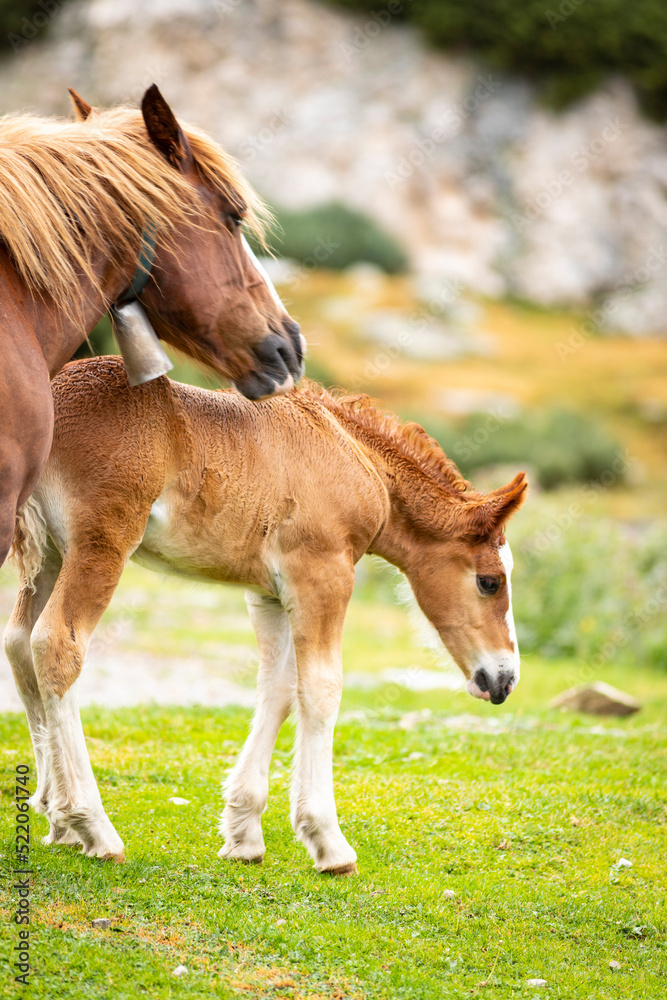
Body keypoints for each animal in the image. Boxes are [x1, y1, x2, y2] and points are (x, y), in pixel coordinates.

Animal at [6, 356, 527, 873]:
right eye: (490, 581)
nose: (504, 679)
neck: (350, 452)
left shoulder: (270, 595)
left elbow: (277, 690)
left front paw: (243, 832)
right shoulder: (322, 576)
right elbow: (321, 689)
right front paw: (328, 841)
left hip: (49, 555)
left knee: (19, 644)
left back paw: (54, 815)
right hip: (101, 545)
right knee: (56, 645)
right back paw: (92, 824)